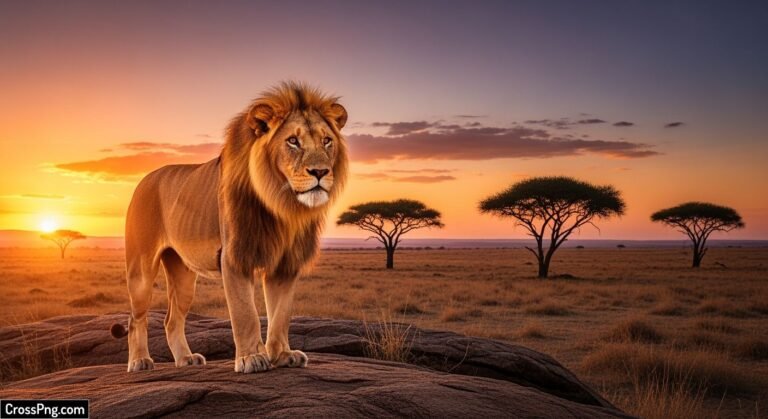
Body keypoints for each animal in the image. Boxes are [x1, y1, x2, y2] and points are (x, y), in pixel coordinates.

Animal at [111, 81, 348, 373]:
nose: (320, 172)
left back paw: (186, 359)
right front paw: (251, 358)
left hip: (183, 275)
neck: (282, 205)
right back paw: (139, 361)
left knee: (171, 319)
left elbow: (281, 314)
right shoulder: (234, 256)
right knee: (136, 319)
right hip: (141, 271)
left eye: (327, 141)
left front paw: (282, 354)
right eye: (293, 141)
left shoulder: (286, 263)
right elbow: (245, 313)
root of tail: (144, 179)